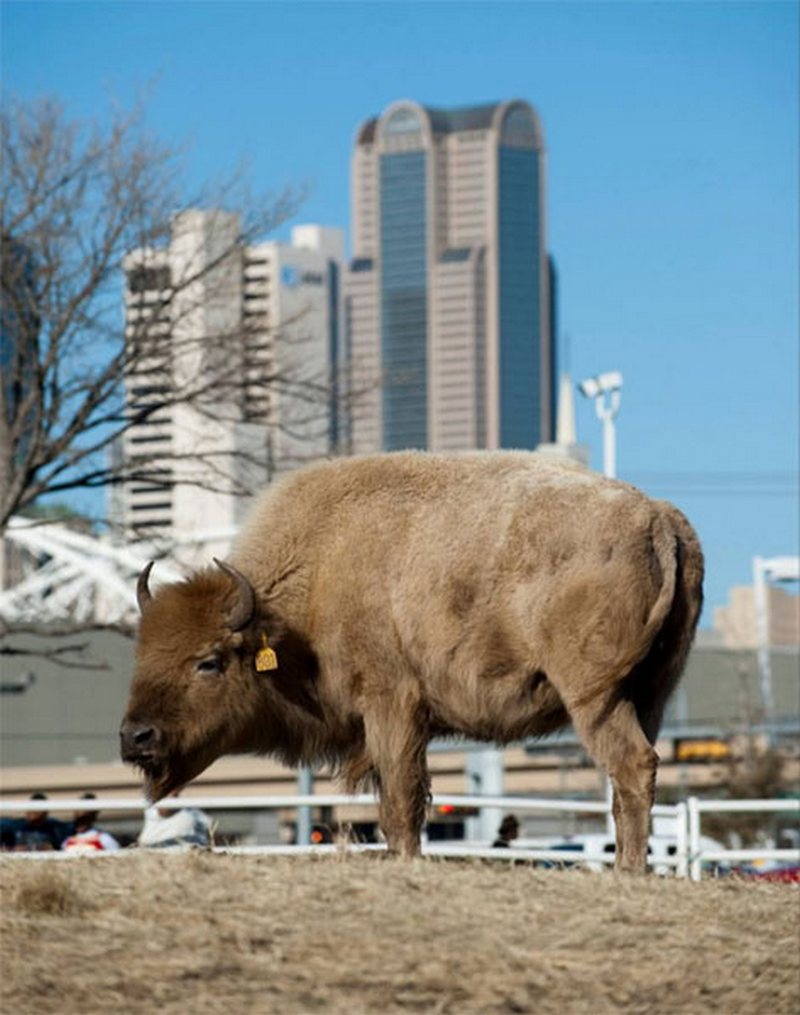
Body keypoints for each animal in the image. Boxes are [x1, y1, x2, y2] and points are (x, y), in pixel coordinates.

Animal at [121, 454, 702, 872]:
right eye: (142, 651)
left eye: (208, 662)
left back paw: (628, 874)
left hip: (594, 698)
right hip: (650, 695)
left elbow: (401, 800)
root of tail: (658, 516)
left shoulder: (391, 706)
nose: (135, 737)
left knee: (631, 765)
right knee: (632, 779)